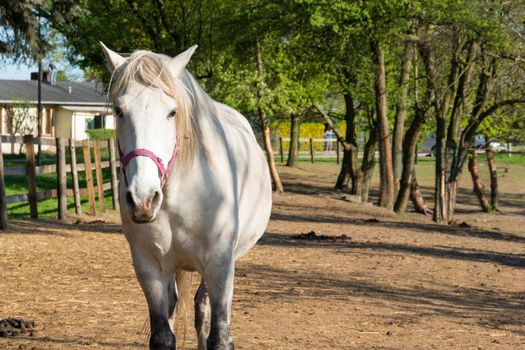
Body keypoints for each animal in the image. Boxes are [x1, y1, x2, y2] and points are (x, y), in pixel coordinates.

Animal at [100, 42, 270, 348]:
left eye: (172, 112)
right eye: (119, 111)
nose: (144, 199)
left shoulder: (220, 263)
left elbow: (219, 336)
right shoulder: (149, 267)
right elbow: (163, 336)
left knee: (201, 308)